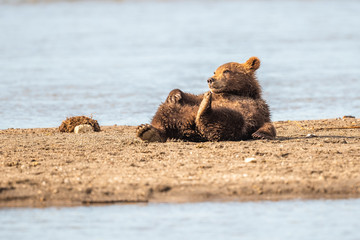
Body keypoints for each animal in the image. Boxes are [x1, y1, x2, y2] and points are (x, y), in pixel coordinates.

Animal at [137, 56, 276, 142]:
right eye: (215, 71)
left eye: (226, 71)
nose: (210, 79)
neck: (238, 92)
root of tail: (188, 127)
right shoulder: (212, 95)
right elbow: (193, 96)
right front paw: (175, 95)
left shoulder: (257, 107)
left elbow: (265, 123)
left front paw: (260, 134)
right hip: (176, 112)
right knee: (163, 113)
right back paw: (147, 130)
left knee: (229, 121)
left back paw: (205, 108)